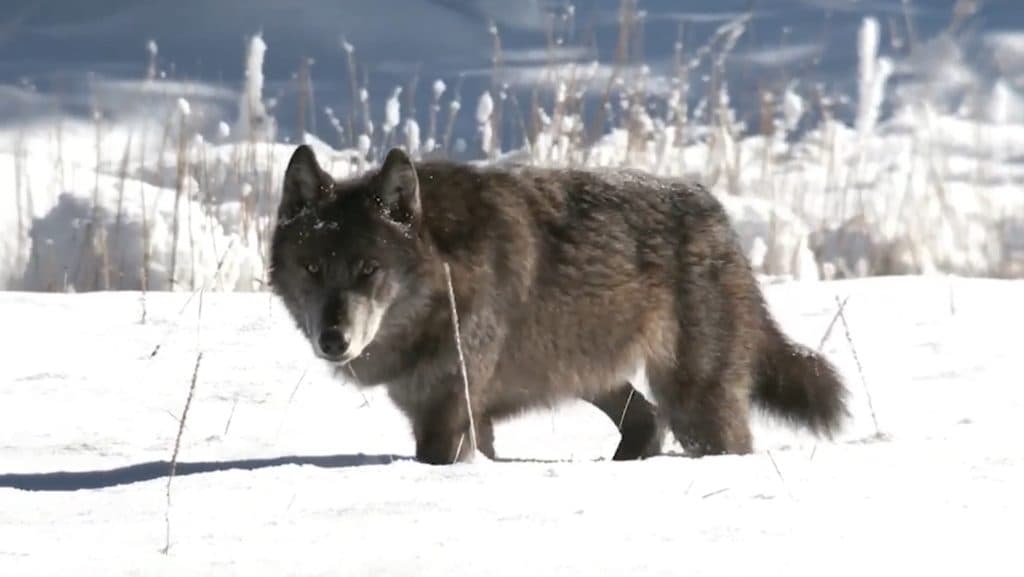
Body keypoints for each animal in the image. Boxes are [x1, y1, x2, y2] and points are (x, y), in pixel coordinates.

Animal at [269, 145, 849, 464]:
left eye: (369, 269)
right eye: (312, 269)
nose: (334, 339)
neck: (444, 278)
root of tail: (716, 213)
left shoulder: (446, 415)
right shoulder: (466, 416)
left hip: (694, 404)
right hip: (586, 373)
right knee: (645, 421)